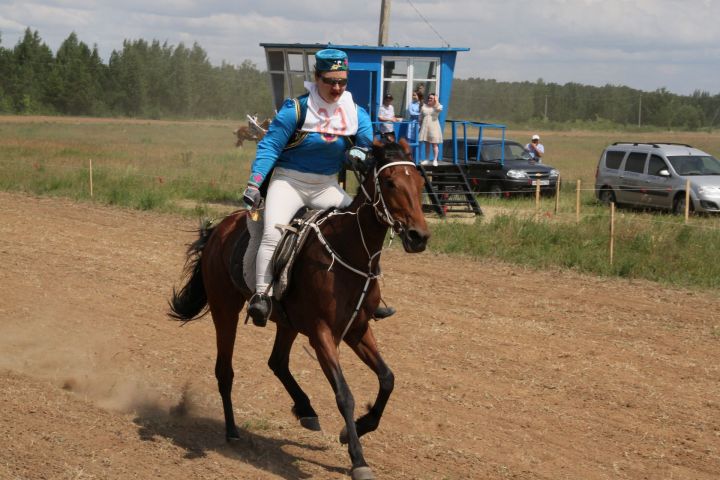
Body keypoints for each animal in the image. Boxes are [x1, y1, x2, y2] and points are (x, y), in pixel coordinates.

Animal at [169, 138, 428, 476]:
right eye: (390, 182)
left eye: (421, 183)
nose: (419, 236)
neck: (348, 252)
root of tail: (219, 229)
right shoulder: (322, 335)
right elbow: (344, 395)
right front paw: (357, 458)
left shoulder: (357, 329)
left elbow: (388, 378)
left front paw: (357, 428)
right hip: (225, 310)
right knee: (225, 371)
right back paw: (233, 431)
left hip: (287, 322)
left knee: (277, 362)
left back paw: (306, 409)